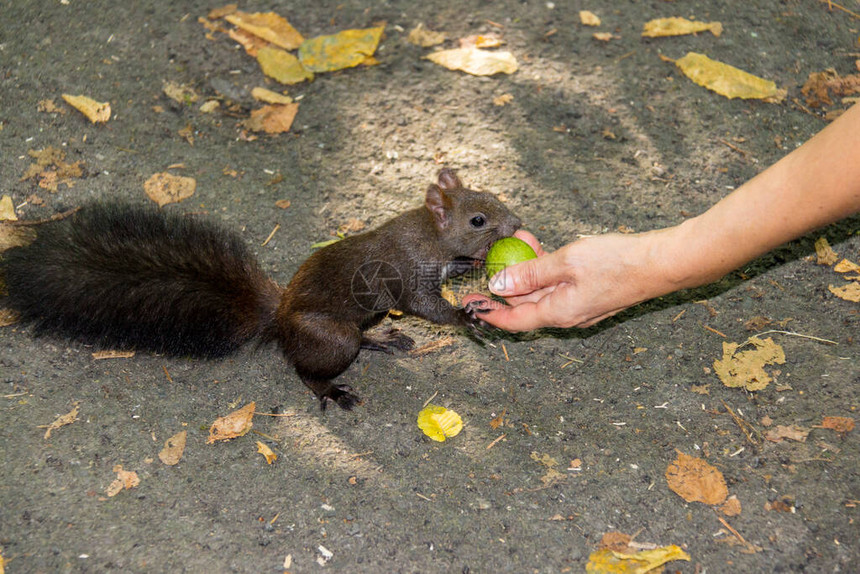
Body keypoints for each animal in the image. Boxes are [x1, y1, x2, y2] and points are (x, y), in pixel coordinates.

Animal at [0, 169, 520, 412]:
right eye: (478, 219)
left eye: (494, 196)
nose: (517, 223)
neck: (430, 234)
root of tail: (281, 317)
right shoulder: (406, 272)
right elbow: (425, 306)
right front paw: (466, 318)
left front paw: (472, 266)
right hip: (332, 336)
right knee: (305, 368)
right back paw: (331, 389)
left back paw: (381, 339)